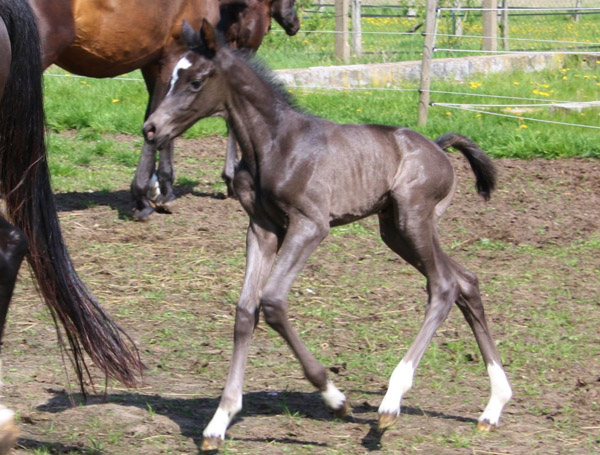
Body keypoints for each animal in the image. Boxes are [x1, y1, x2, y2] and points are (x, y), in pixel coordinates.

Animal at [144, 20, 510, 448]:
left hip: (413, 220)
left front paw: (336, 398)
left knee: (444, 286)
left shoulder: (310, 225)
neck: (275, 144)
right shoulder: (262, 228)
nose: (151, 128)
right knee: (465, 281)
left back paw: (392, 402)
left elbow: (272, 301)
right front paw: (219, 421)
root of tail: (438, 147)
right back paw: (493, 407)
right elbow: (245, 310)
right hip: (395, 228)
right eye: (171, 77)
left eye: (197, 81)